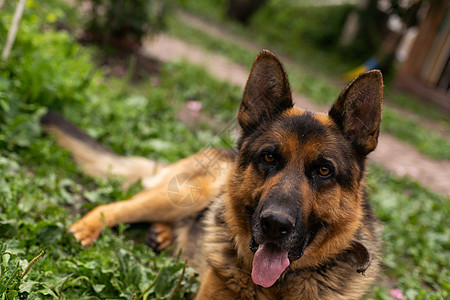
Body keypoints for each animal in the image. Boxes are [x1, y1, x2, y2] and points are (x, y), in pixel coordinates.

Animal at [43, 50, 384, 298]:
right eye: (269, 157)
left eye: (324, 170)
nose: (274, 225)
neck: (275, 286)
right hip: (189, 192)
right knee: (113, 207)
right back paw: (87, 229)